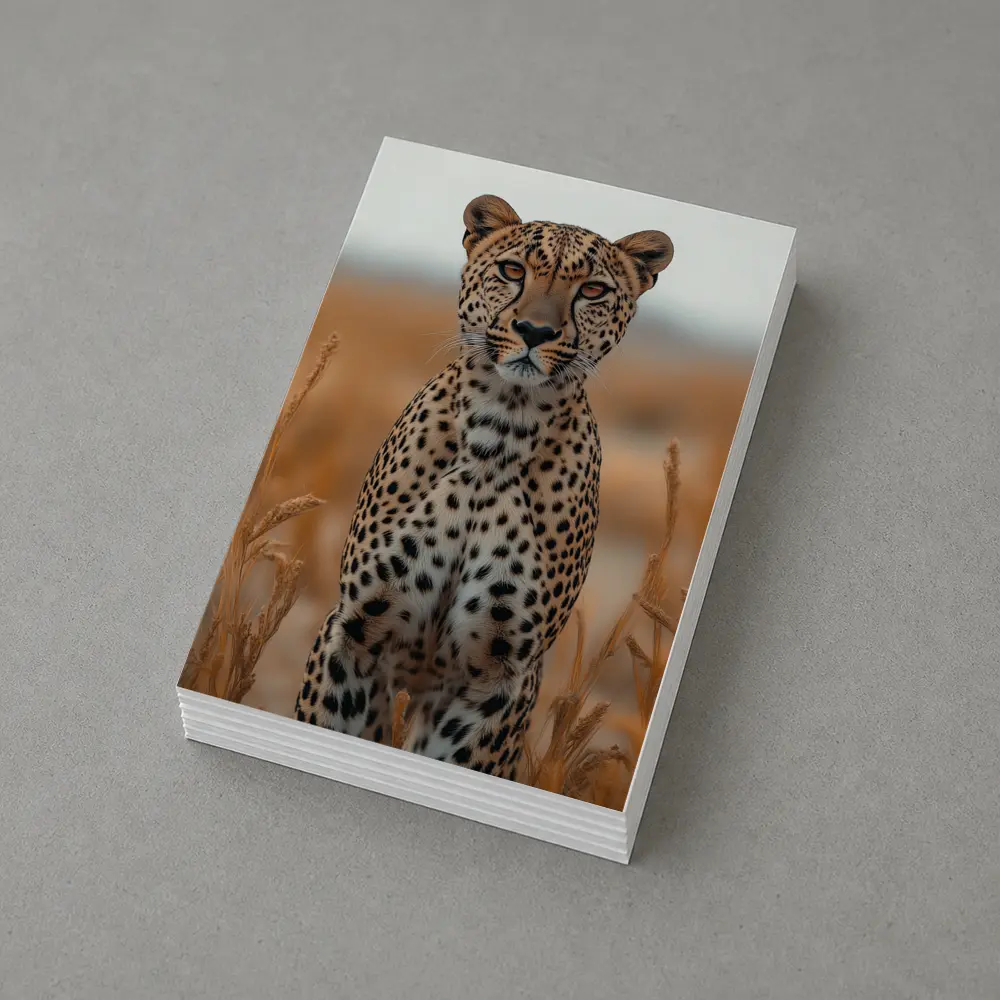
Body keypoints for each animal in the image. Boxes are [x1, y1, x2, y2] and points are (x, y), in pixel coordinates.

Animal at [294, 193, 673, 781]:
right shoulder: (354, 634)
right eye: (513, 271)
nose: (535, 331)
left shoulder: (500, 679)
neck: (501, 428)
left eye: (592, 290)